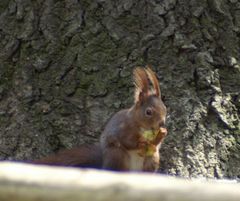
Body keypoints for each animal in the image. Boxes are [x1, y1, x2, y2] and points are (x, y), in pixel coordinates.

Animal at [33, 66, 168, 172]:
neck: (141, 125)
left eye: (165, 109)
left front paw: (162, 134)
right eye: (148, 112)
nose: (162, 123)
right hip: (116, 154)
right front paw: (142, 143)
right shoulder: (123, 128)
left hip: (152, 159)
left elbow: (156, 144)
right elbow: (128, 141)